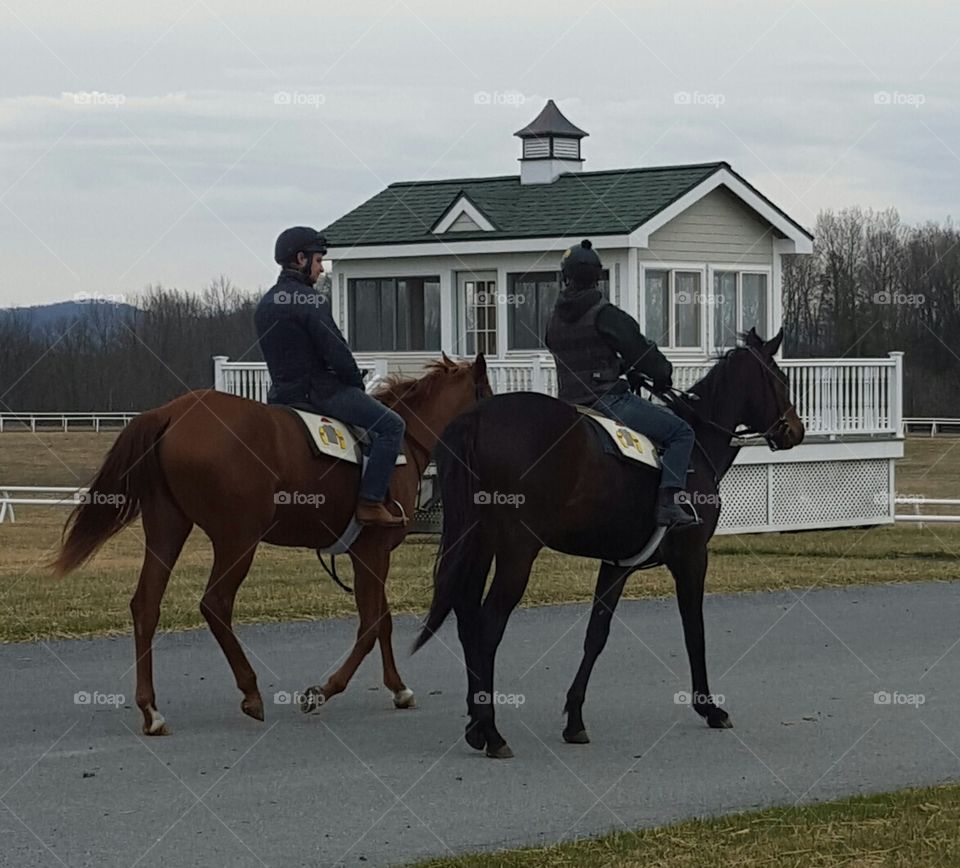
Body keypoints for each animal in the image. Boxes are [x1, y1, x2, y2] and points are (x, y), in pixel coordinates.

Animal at [53, 352, 492, 732]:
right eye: (488, 395)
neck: (402, 443)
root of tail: (172, 413)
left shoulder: (365, 554)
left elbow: (380, 620)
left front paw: (398, 688)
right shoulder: (374, 551)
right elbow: (370, 625)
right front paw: (322, 691)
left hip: (167, 527)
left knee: (146, 605)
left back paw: (152, 710)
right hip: (237, 539)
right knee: (215, 604)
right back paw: (250, 691)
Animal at [412, 328, 804, 756]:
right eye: (780, 380)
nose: (795, 430)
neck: (696, 445)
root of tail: (477, 418)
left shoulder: (617, 565)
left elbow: (596, 635)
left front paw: (575, 718)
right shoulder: (692, 557)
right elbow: (694, 631)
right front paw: (709, 707)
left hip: (477, 544)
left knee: (466, 617)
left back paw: (476, 724)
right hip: (517, 551)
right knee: (487, 625)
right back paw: (492, 730)